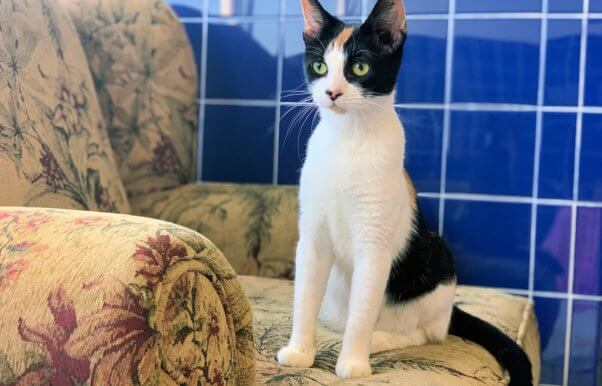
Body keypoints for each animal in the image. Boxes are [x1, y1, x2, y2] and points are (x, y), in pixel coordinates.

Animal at [276, 0, 528, 382]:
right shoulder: (313, 236)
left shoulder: (374, 244)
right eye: (320, 66)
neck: (348, 140)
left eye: (360, 67)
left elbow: (362, 310)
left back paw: (378, 339)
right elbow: (304, 298)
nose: (332, 92)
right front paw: (300, 352)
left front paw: (353, 363)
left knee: (424, 332)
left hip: (438, 261)